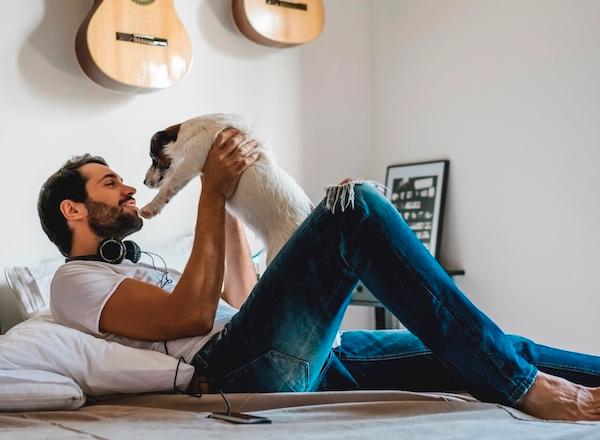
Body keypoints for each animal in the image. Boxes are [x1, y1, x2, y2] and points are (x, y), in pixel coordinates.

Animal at [140, 114, 314, 264]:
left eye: (153, 157)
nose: (144, 182)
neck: (190, 132)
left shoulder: (190, 163)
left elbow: (168, 187)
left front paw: (150, 208)